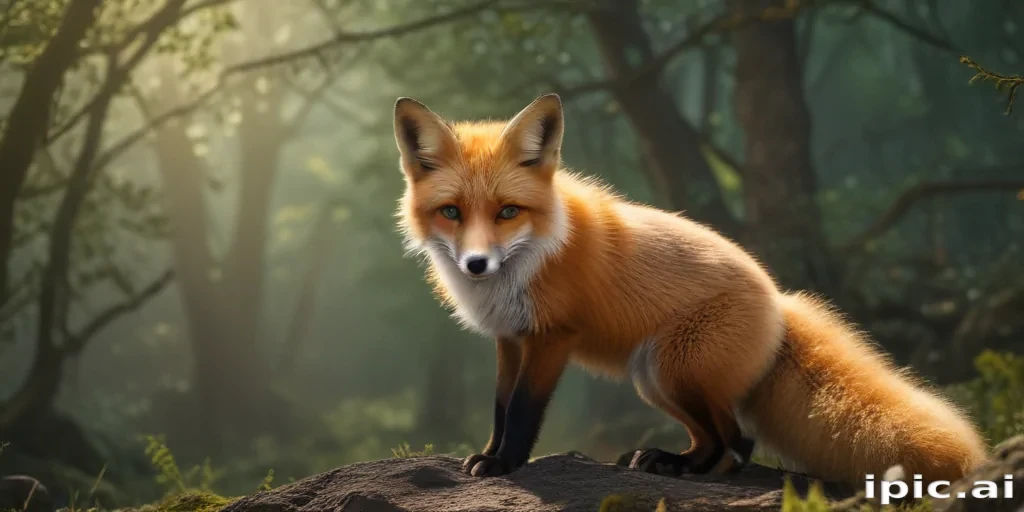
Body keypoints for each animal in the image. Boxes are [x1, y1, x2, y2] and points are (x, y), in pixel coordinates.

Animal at [391, 93, 988, 488]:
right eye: (451, 213)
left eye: (507, 212)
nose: (476, 264)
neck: (535, 252)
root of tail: (780, 299)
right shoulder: (511, 339)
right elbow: (497, 408)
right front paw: (486, 456)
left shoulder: (552, 337)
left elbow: (520, 412)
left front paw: (505, 464)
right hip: (656, 380)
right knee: (717, 436)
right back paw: (666, 461)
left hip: (675, 367)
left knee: (736, 440)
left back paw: (692, 470)